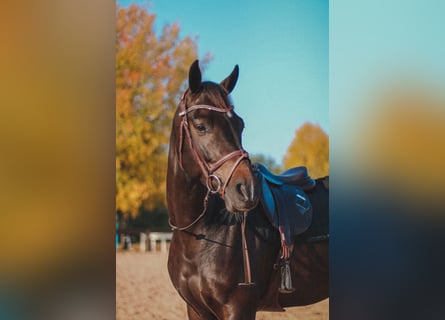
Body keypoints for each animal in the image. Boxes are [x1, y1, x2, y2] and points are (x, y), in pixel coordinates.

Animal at [166, 60, 326, 320]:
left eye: (240, 124)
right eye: (200, 126)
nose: (247, 190)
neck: (199, 231)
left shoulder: (239, 308)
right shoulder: (196, 309)